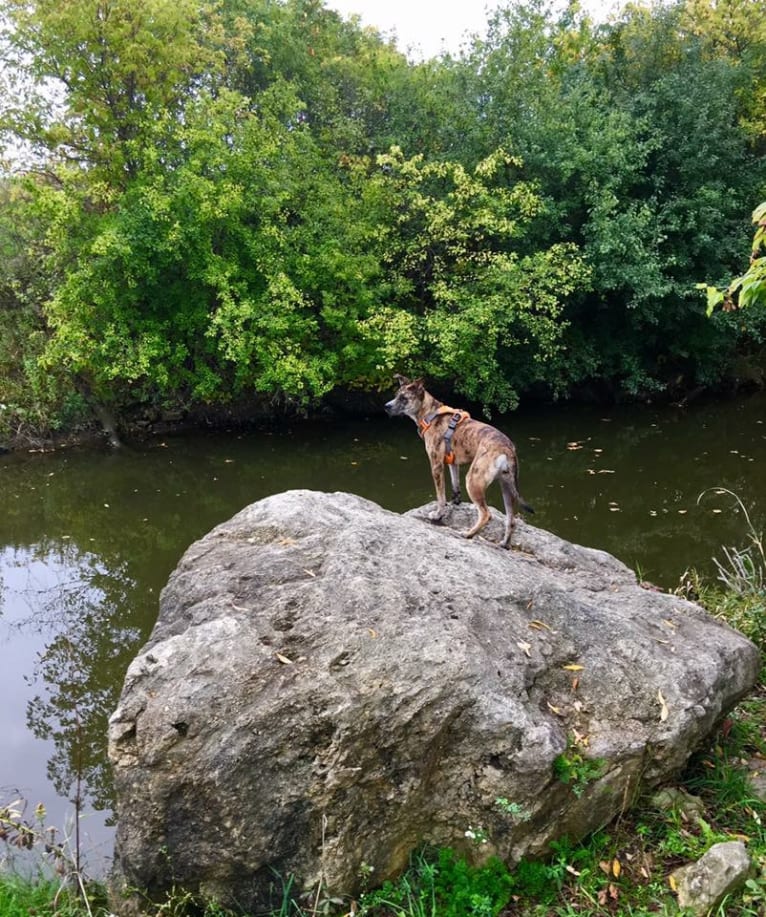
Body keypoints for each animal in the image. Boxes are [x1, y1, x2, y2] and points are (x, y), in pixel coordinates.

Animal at [384, 370, 536, 544]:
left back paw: (468, 534)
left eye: (404, 398)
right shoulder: (452, 463)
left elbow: (440, 495)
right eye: (396, 395)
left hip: (473, 479)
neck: (431, 414)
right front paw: (455, 502)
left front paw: (438, 514)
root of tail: (507, 447)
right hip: (506, 487)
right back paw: (504, 544)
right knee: (511, 520)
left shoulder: (436, 465)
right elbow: (455, 486)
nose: (386, 406)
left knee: (486, 514)